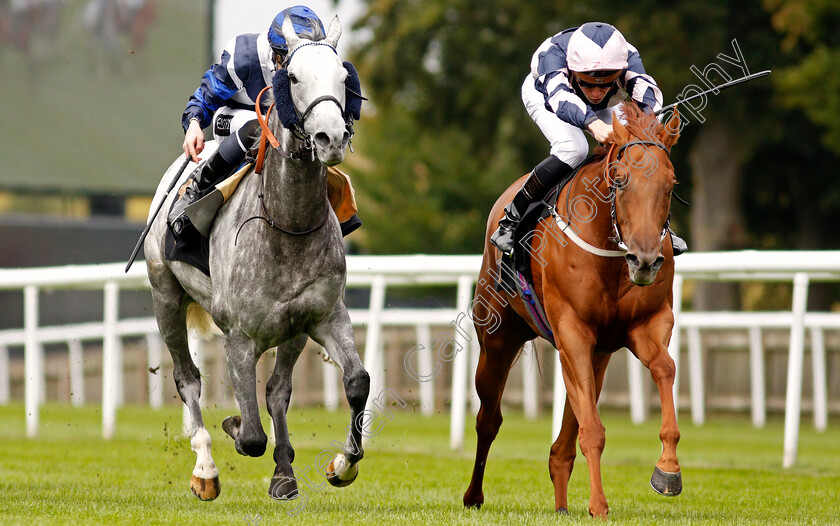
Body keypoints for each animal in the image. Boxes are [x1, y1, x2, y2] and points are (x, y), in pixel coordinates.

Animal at [143, 15, 370, 504]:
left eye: (344, 78)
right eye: (294, 78)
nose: (331, 137)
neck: (287, 224)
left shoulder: (322, 316)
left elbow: (353, 382)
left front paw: (341, 464)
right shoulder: (239, 338)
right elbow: (249, 435)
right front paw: (231, 425)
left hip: (293, 332)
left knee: (277, 390)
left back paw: (284, 471)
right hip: (165, 294)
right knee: (187, 378)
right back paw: (205, 467)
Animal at [462, 103, 684, 520]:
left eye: (672, 183)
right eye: (619, 180)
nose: (646, 261)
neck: (613, 253)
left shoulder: (645, 325)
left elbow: (665, 368)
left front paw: (668, 469)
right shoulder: (573, 332)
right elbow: (592, 430)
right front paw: (599, 505)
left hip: (595, 357)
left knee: (561, 444)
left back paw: (562, 506)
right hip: (498, 339)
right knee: (489, 419)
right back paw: (473, 496)